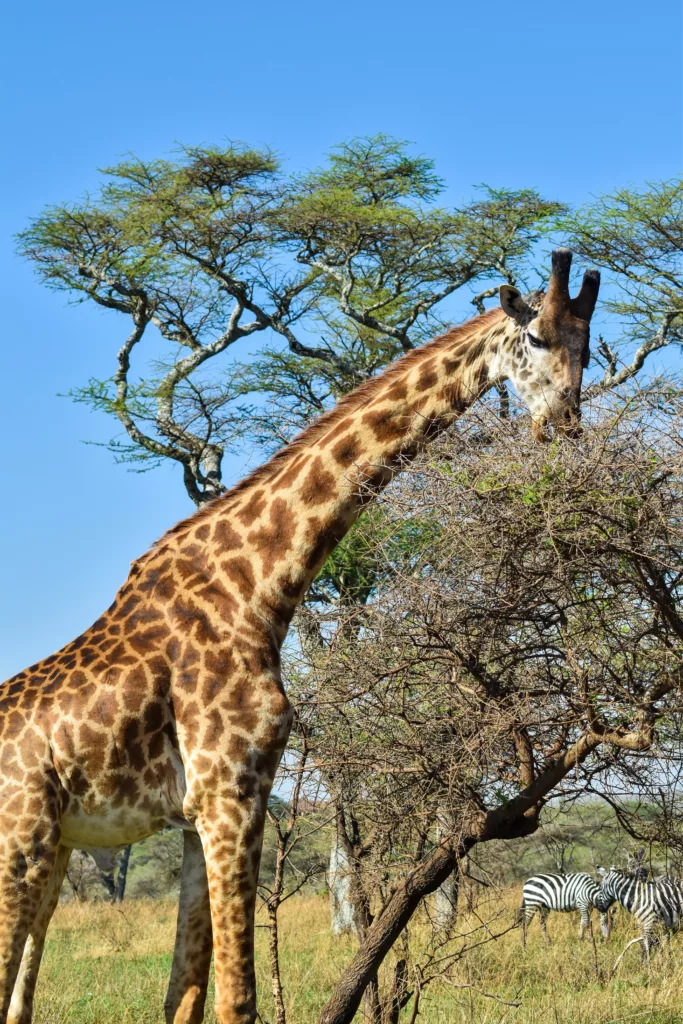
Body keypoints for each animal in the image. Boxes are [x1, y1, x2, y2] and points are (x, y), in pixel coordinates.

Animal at [0, 249, 598, 1024]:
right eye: (535, 338)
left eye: (588, 347)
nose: (564, 428)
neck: (259, 586)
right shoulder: (229, 793)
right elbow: (238, 999)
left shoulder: (201, 813)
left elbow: (185, 996)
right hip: (21, 845)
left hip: (56, 850)